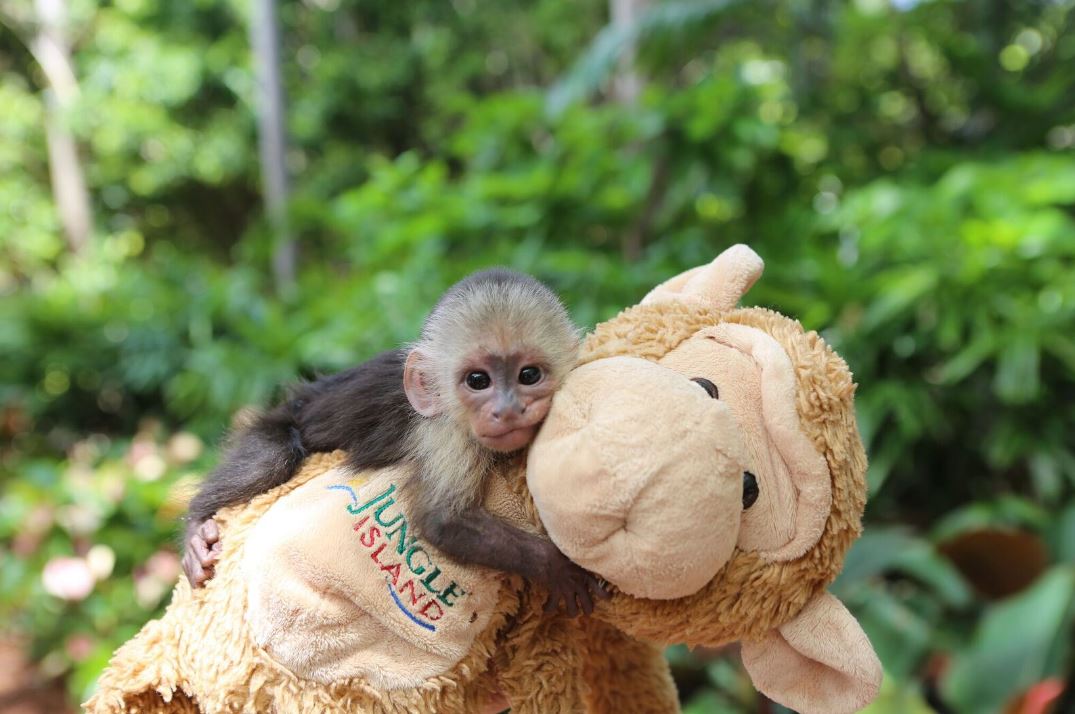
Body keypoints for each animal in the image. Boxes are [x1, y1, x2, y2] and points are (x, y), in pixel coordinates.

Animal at [182, 269, 608, 615]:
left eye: (529, 375)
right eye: (478, 381)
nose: (507, 410)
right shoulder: (444, 434)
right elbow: (443, 520)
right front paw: (555, 565)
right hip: (277, 423)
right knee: (273, 457)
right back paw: (196, 526)